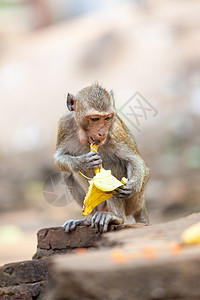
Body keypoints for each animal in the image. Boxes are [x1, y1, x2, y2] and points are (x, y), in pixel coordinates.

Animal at [54, 83, 149, 233]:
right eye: (94, 119)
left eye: (107, 118)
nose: (102, 133)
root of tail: (142, 204)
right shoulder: (64, 124)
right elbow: (58, 157)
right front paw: (82, 162)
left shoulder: (115, 129)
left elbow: (134, 160)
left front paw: (132, 186)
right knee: (67, 174)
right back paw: (86, 219)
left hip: (135, 201)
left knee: (110, 167)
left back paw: (116, 217)